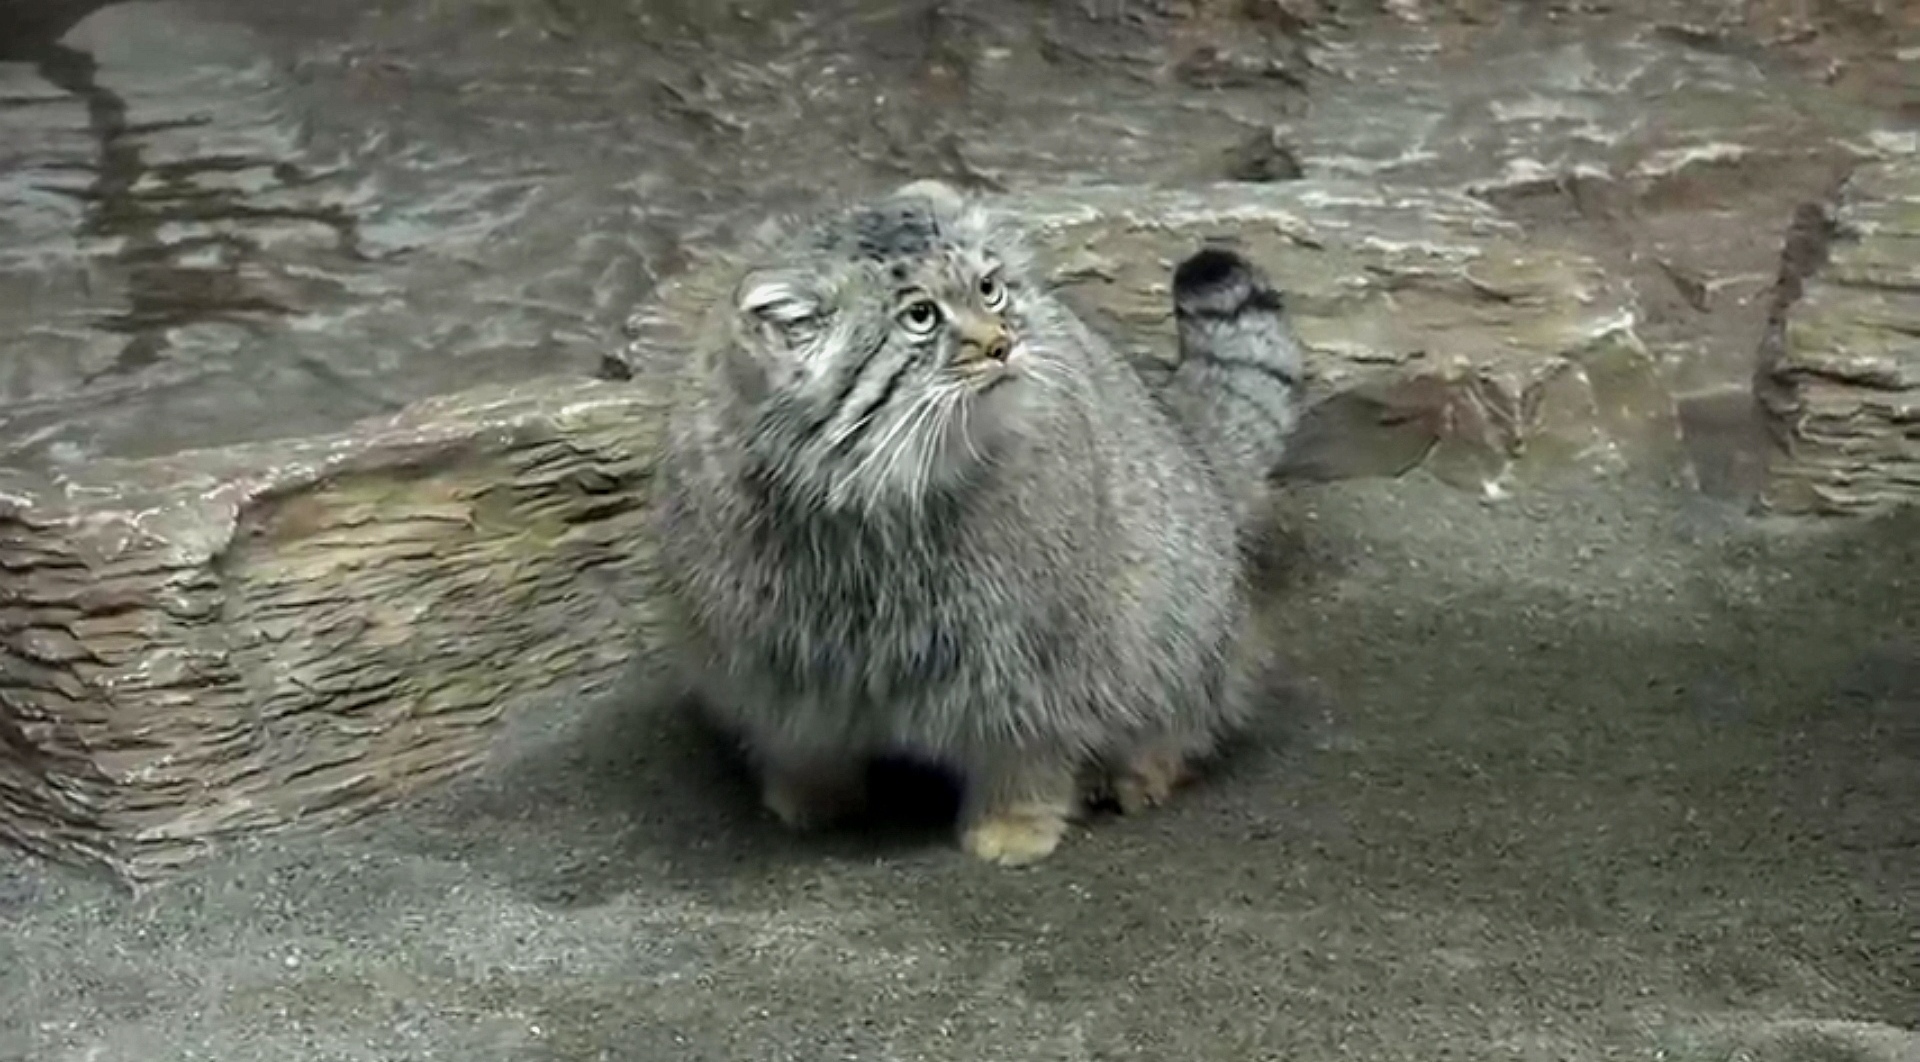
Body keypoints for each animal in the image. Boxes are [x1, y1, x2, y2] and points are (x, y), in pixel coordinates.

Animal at [648, 180, 1305, 860]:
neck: (866, 495)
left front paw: (1015, 824)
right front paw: (808, 794)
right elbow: (797, 735)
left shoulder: (1032, 646)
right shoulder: (765, 648)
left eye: (990, 288)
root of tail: (1194, 452)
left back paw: (1141, 767)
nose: (1002, 344)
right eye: (920, 316)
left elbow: (1025, 743)